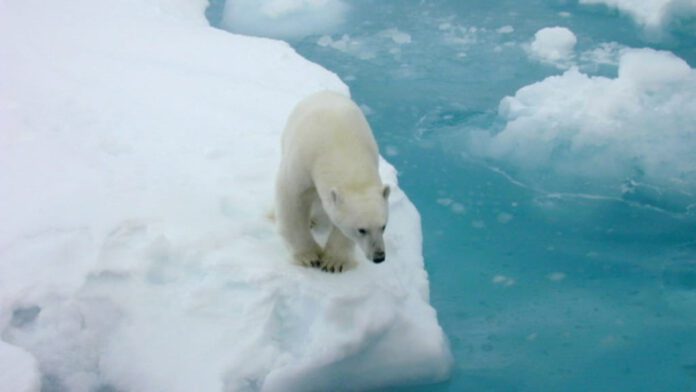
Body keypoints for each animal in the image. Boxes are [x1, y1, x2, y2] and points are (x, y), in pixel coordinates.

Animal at [274, 91, 388, 272]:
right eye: (361, 230)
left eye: (383, 226)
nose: (379, 257)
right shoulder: (303, 162)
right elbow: (292, 199)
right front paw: (308, 257)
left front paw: (333, 262)